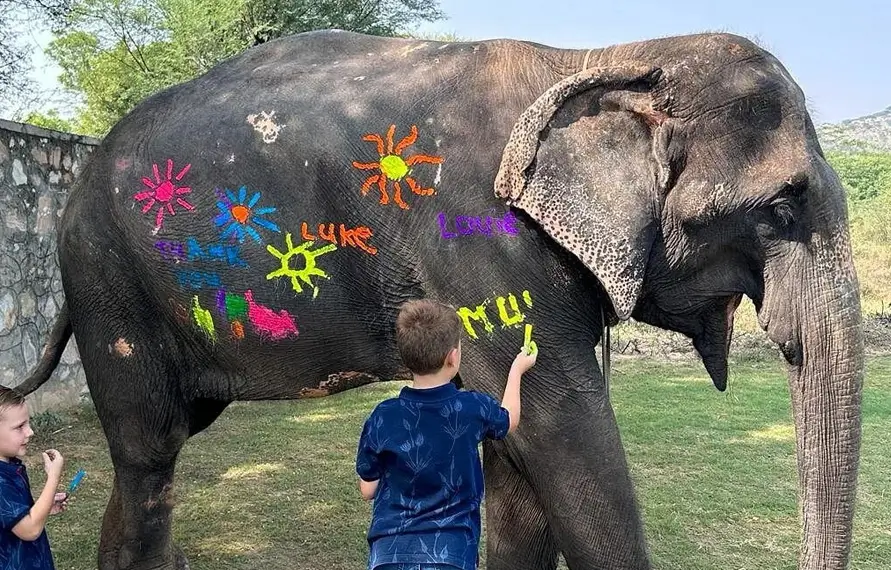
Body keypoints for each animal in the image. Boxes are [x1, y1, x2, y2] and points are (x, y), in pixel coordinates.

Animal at [10, 29, 862, 570]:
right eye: (780, 209)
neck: (608, 57)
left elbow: (516, 450)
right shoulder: (482, 239)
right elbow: (560, 430)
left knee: (162, 444)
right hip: (109, 280)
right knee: (150, 448)